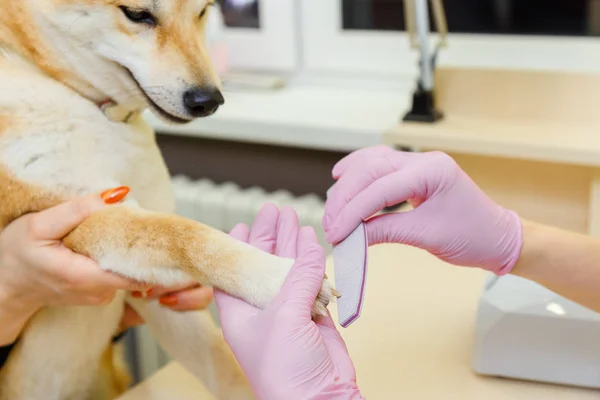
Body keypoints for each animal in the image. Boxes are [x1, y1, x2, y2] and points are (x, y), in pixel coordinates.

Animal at [0, 1, 338, 398]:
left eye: (203, 12)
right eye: (136, 14)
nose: (208, 100)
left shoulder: (156, 294)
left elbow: (221, 363)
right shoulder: (80, 213)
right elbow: (184, 235)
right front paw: (278, 278)